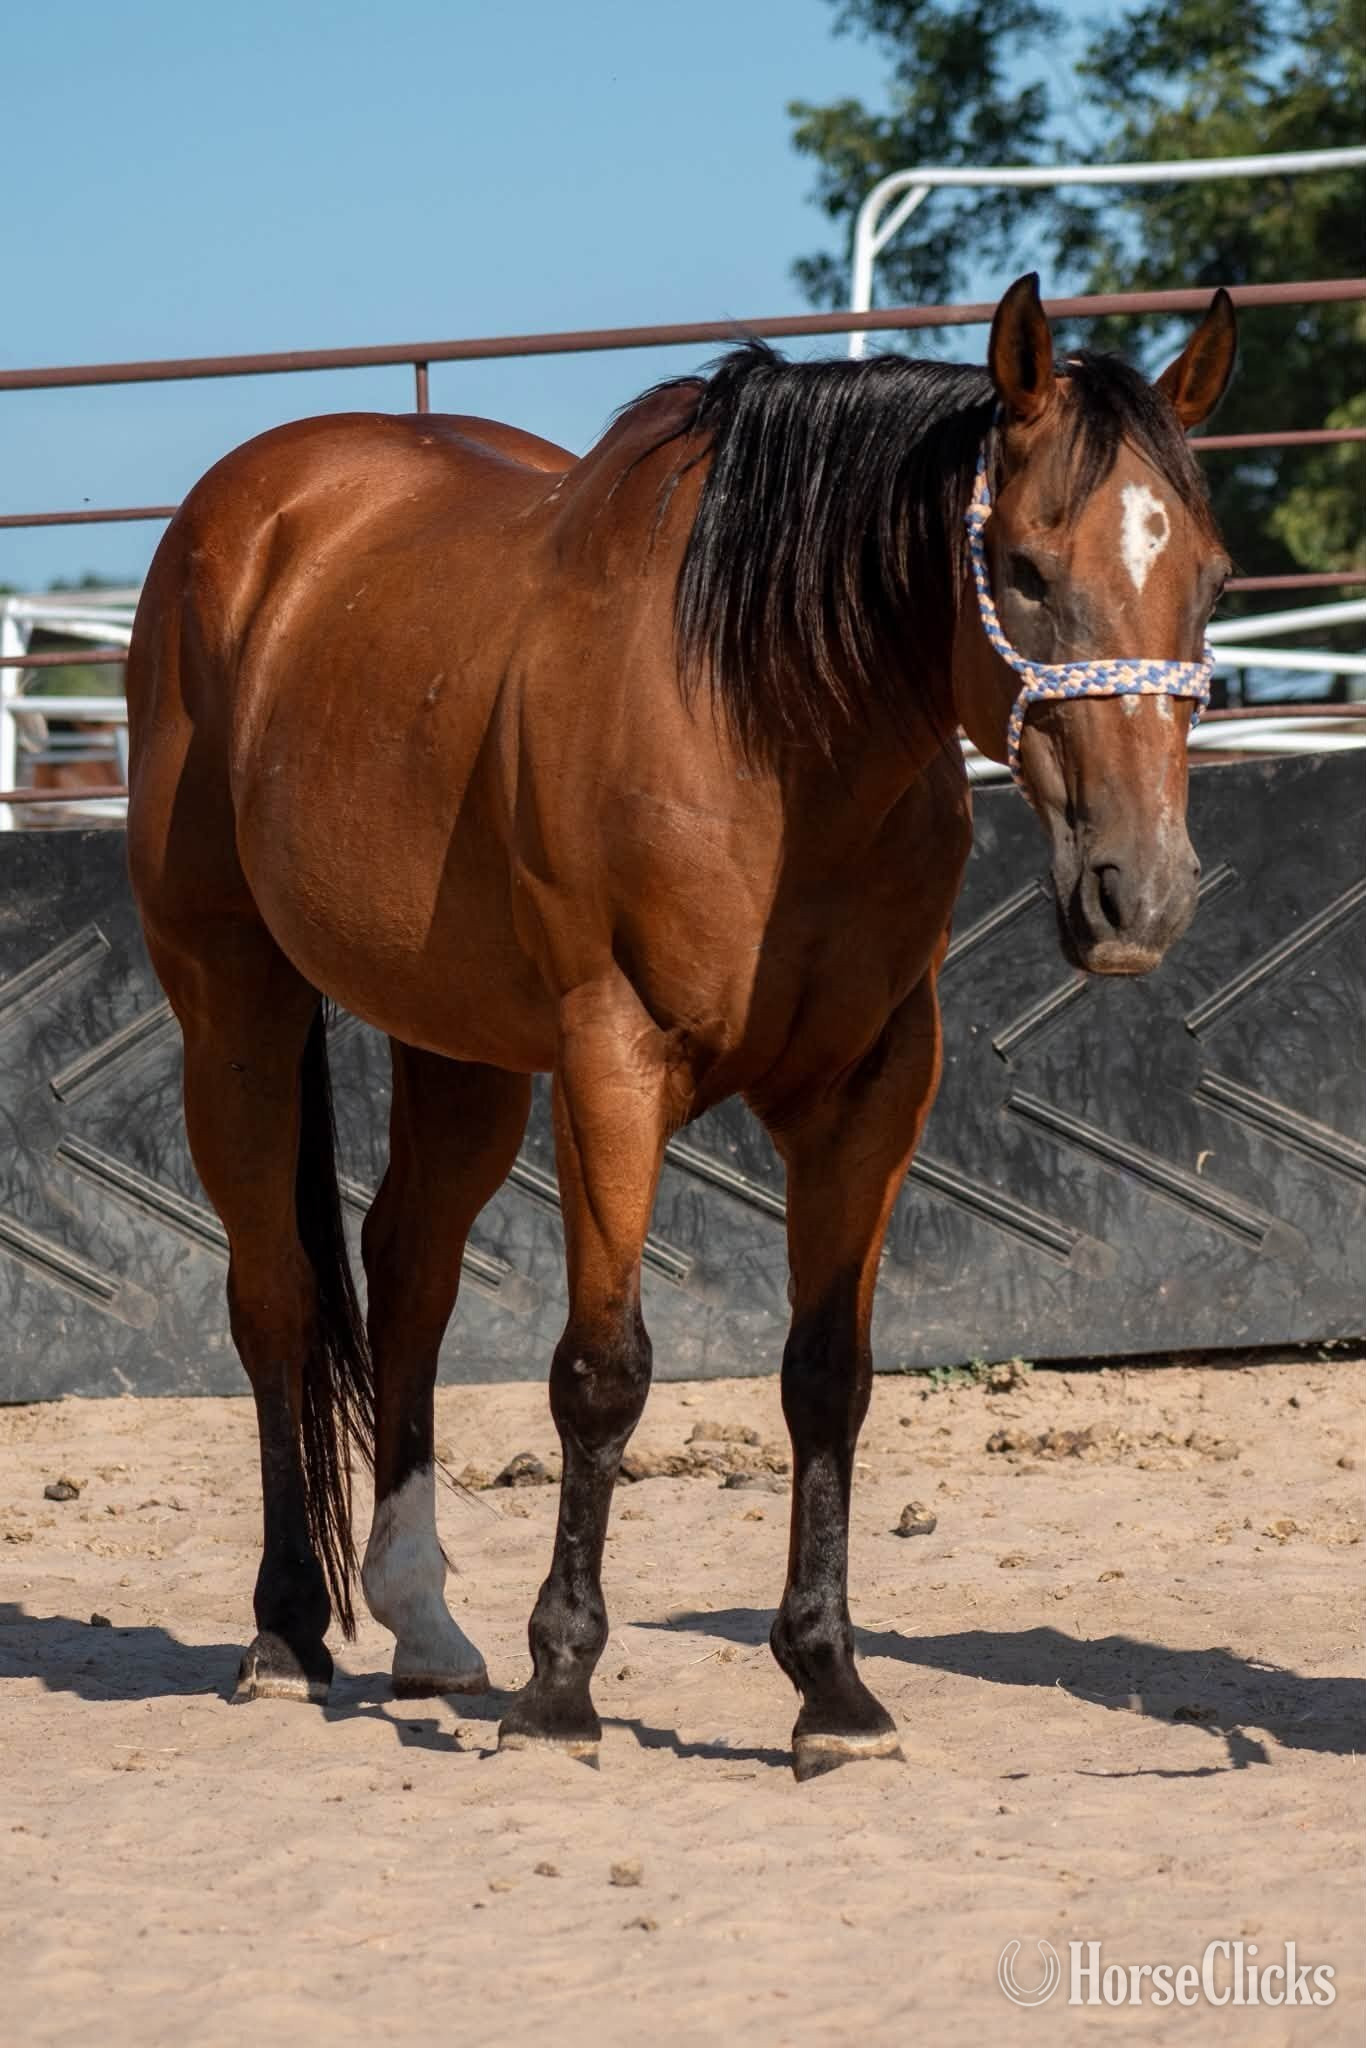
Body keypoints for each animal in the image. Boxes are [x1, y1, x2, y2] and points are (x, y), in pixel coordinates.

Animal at [124, 273, 1236, 1778]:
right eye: (1017, 569)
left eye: (1210, 579)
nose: (1140, 892)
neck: (765, 727)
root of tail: (244, 514)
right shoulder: (614, 1064)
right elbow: (602, 1373)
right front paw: (559, 1688)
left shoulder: (872, 1086)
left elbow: (828, 1375)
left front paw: (830, 1685)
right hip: (231, 995)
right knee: (278, 1297)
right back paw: (290, 1632)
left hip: (459, 1046)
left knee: (407, 1274)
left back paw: (423, 1624)